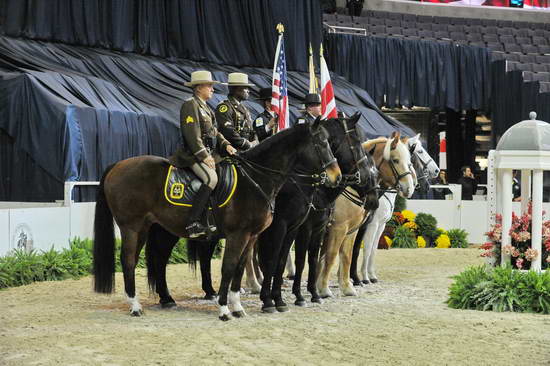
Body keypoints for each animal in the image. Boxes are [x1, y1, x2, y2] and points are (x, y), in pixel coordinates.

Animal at [94, 121, 342, 320]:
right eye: (321, 144)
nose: (336, 177)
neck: (256, 180)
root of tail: (117, 165)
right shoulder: (238, 234)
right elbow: (229, 267)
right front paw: (224, 310)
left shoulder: (252, 236)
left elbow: (240, 269)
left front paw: (237, 307)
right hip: (131, 226)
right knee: (128, 261)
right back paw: (135, 306)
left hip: (147, 227)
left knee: (148, 259)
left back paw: (161, 300)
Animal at [314, 133, 418, 298]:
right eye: (395, 160)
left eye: (410, 161)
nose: (410, 187)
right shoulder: (341, 228)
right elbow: (332, 255)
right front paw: (324, 288)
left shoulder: (353, 229)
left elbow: (347, 254)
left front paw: (346, 286)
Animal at [354, 133, 440, 284]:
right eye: (419, 152)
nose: (437, 171)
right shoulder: (372, 224)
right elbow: (367, 249)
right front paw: (364, 277)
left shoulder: (380, 225)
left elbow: (373, 249)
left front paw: (371, 275)